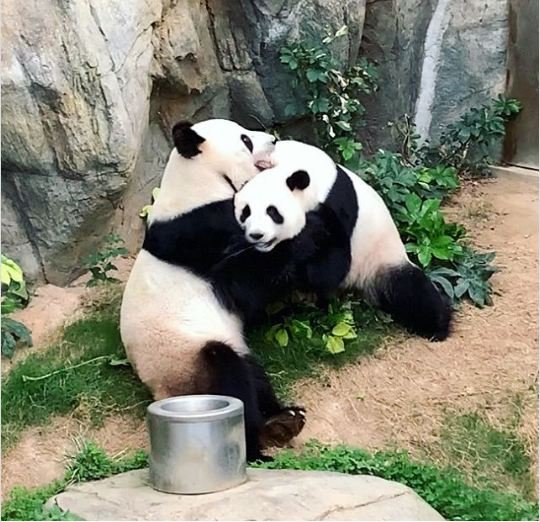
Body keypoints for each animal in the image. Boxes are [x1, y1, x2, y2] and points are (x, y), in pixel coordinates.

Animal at [120, 120, 307, 461]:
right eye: (246, 140)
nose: (273, 140)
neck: (198, 182)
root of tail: (160, 393)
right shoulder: (201, 232)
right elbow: (245, 284)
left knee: (253, 374)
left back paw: (283, 419)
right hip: (186, 359)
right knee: (228, 374)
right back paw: (258, 441)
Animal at [233, 140, 453, 341]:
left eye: (273, 212)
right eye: (246, 212)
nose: (257, 235)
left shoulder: (336, 205)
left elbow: (331, 268)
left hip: (381, 260)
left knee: (411, 291)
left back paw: (437, 327)